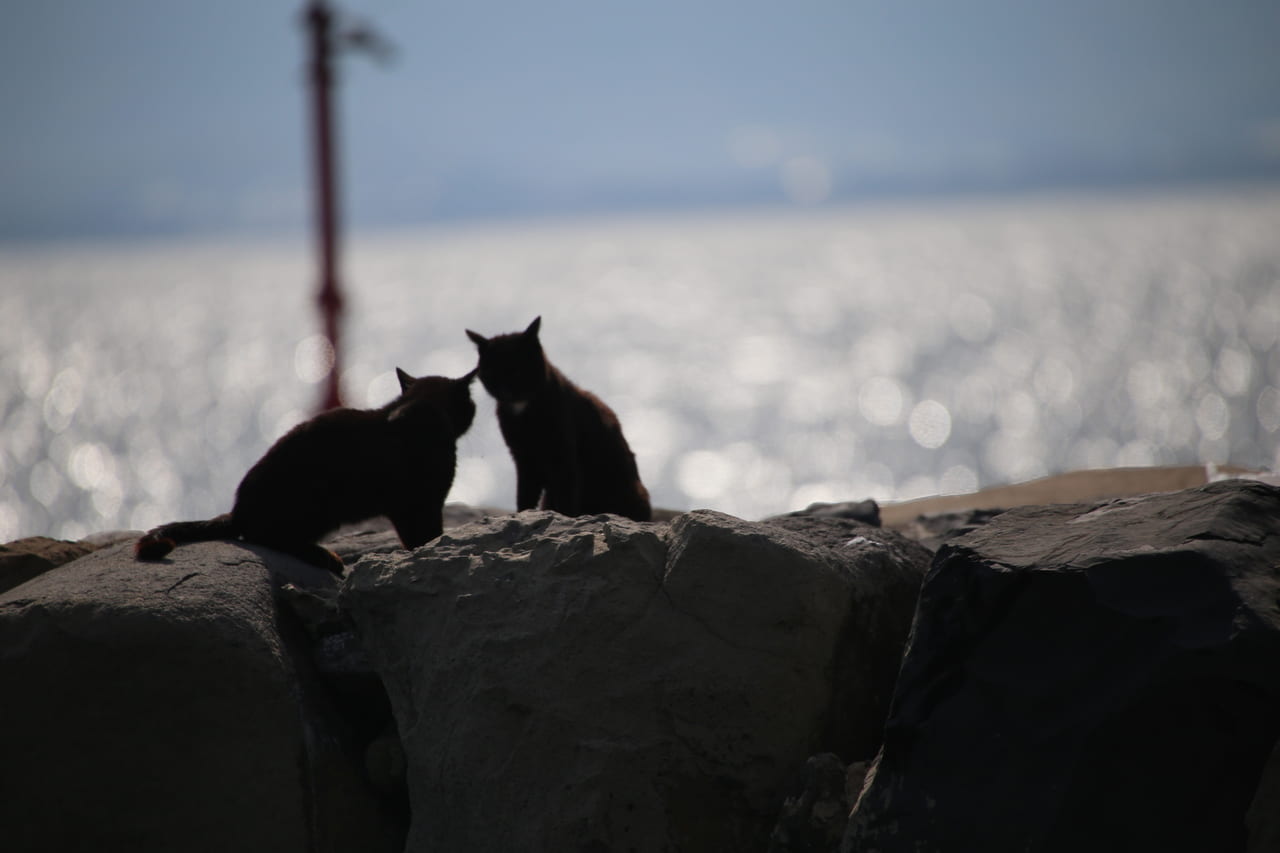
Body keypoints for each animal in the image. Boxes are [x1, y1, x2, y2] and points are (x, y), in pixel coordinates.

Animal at [135, 366, 478, 571]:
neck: (422, 410)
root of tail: (237, 511)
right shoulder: (417, 505)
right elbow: (425, 538)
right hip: (316, 505)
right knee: (265, 537)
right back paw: (323, 556)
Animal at [465, 315, 655, 522]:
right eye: (491, 373)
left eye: (516, 370)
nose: (505, 391)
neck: (523, 408)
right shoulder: (523, 458)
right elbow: (525, 496)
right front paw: (522, 516)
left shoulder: (563, 458)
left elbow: (566, 498)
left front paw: (564, 518)